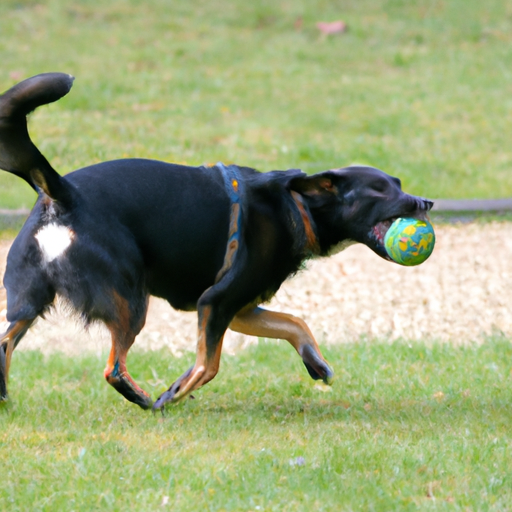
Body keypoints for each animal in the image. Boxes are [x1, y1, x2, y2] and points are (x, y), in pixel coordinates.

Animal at [0, 73, 434, 408]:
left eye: (398, 183)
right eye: (380, 190)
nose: (427, 201)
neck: (296, 205)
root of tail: (63, 193)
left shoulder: (239, 308)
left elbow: (294, 323)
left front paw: (315, 361)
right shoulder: (216, 303)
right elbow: (208, 365)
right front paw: (172, 395)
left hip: (27, 301)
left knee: (4, 344)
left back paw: (5, 401)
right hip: (129, 301)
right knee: (114, 368)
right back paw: (143, 399)